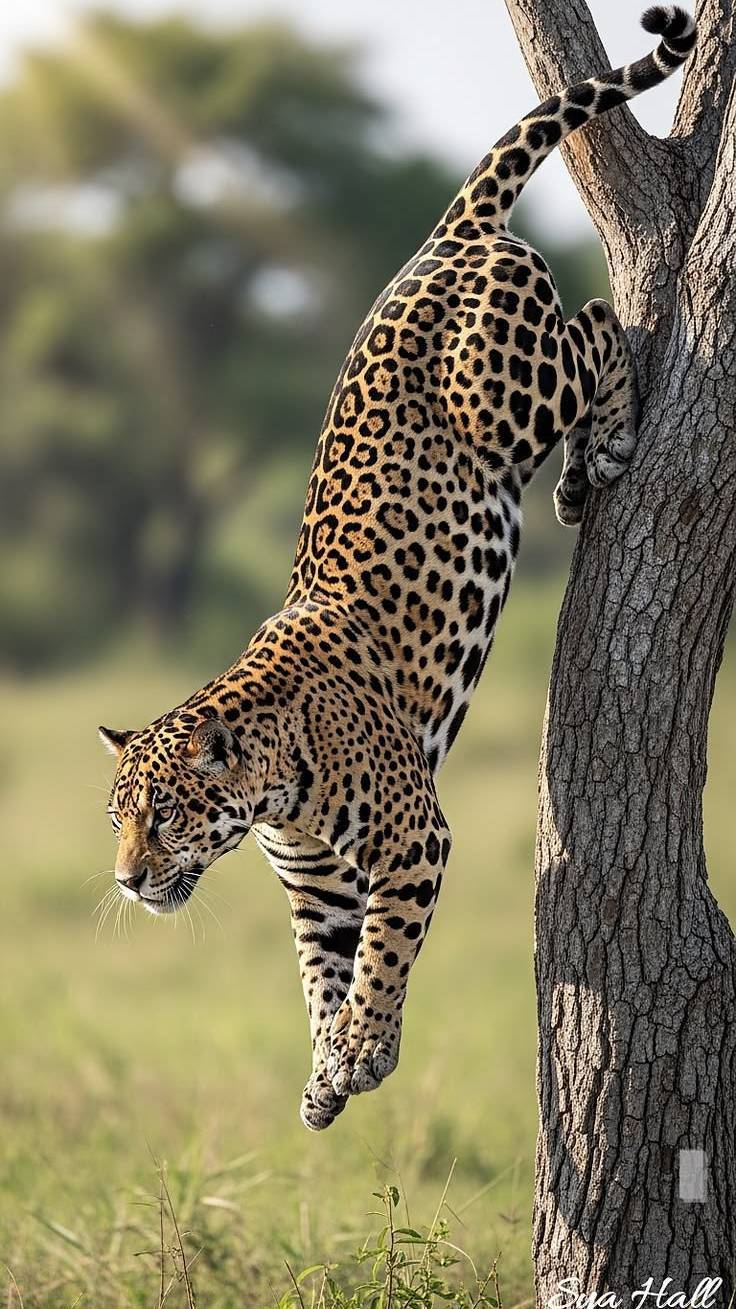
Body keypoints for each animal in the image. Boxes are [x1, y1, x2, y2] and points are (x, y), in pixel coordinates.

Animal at [99, 7, 697, 1130]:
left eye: (164, 815)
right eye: (116, 819)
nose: (125, 881)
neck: (270, 782)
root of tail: (442, 236)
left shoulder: (413, 841)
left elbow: (385, 952)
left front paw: (364, 1048)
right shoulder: (314, 884)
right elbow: (318, 972)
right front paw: (325, 1070)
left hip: (508, 395)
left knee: (599, 325)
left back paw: (599, 451)